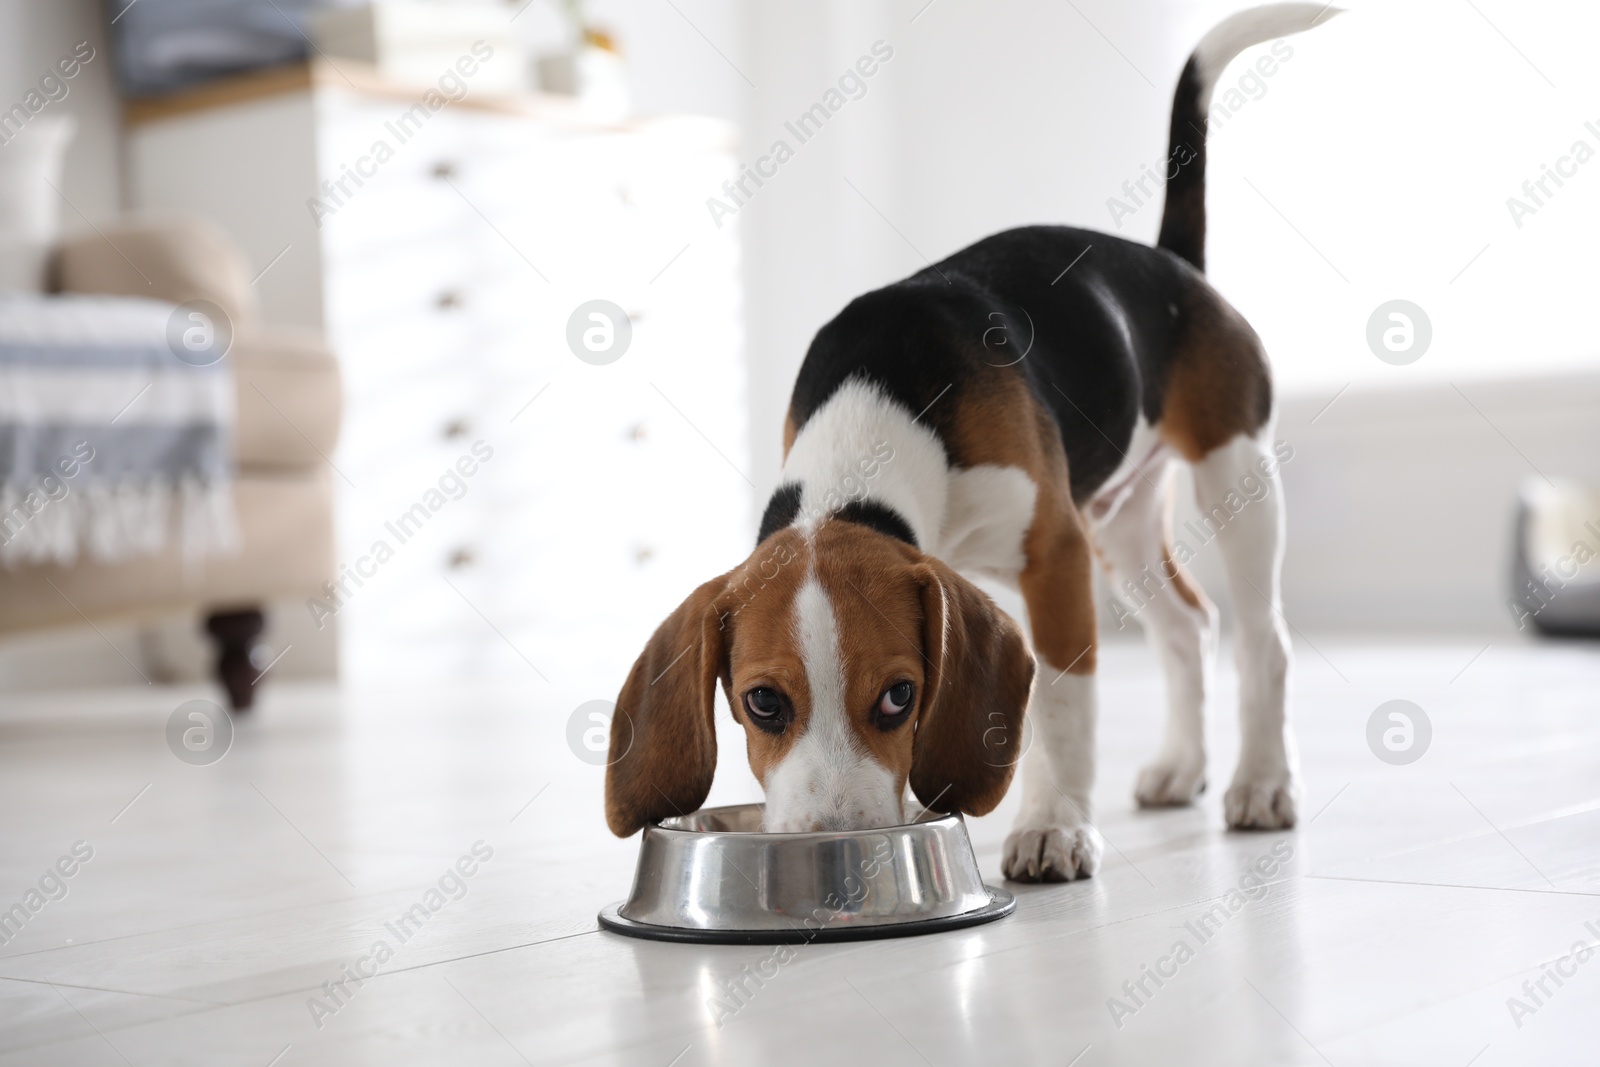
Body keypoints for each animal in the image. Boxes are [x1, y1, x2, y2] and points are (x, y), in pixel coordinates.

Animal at [601, 4, 1324, 883]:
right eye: (762, 702)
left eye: (900, 696)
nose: (832, 847)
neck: (877, 423)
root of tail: (1170, 262)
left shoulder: (1056, 556)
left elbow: (1062, 703)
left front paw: (1053, 825)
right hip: (1119, 521)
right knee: (1190, 626)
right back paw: (1183, 767)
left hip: (1233, 474)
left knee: (1262, 639)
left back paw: (1263, 781)